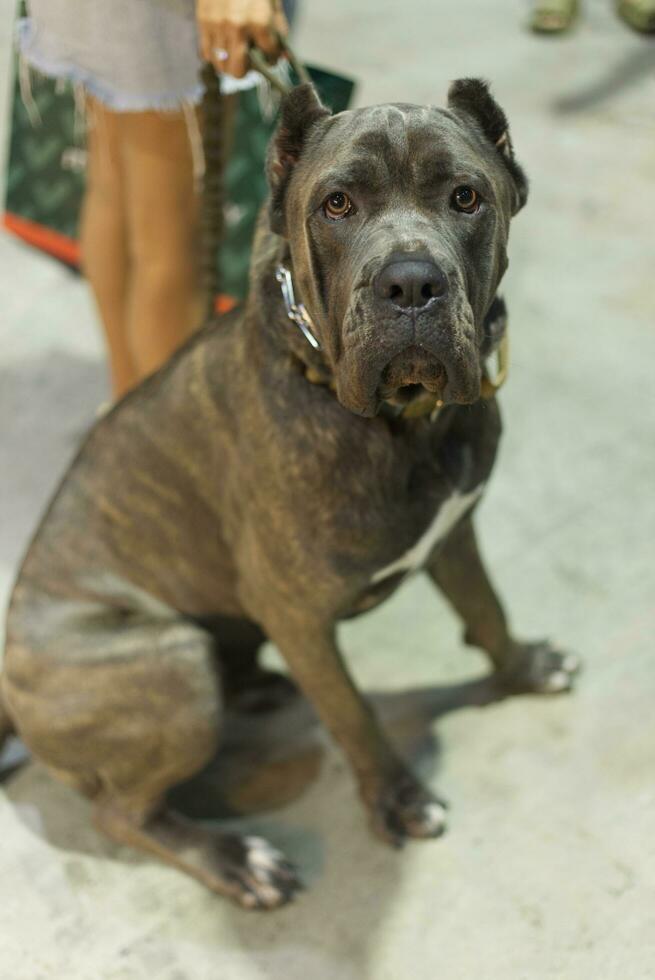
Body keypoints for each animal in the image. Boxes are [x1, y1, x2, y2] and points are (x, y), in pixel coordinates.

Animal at [0, 78, 580, 912]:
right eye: (336, 205)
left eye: (465, 196)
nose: (410, 282)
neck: (405, 426)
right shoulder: (301, 617)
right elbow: (352, 712)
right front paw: (398, 800)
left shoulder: (454, 533)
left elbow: (487, 610)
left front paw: (524, 668)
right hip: (170, 661)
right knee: (122, 812)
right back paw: (235, 858)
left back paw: (255, 689)